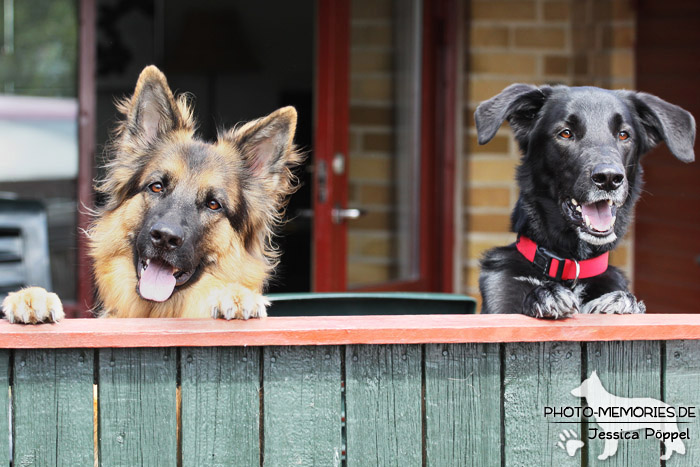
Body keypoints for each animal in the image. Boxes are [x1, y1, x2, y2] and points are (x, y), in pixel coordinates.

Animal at [476, 84, 696, 318]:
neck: (573, 267)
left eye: (624, 135)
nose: (609, 178)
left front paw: (622, 301)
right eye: (565, 133)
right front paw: (546, 294)